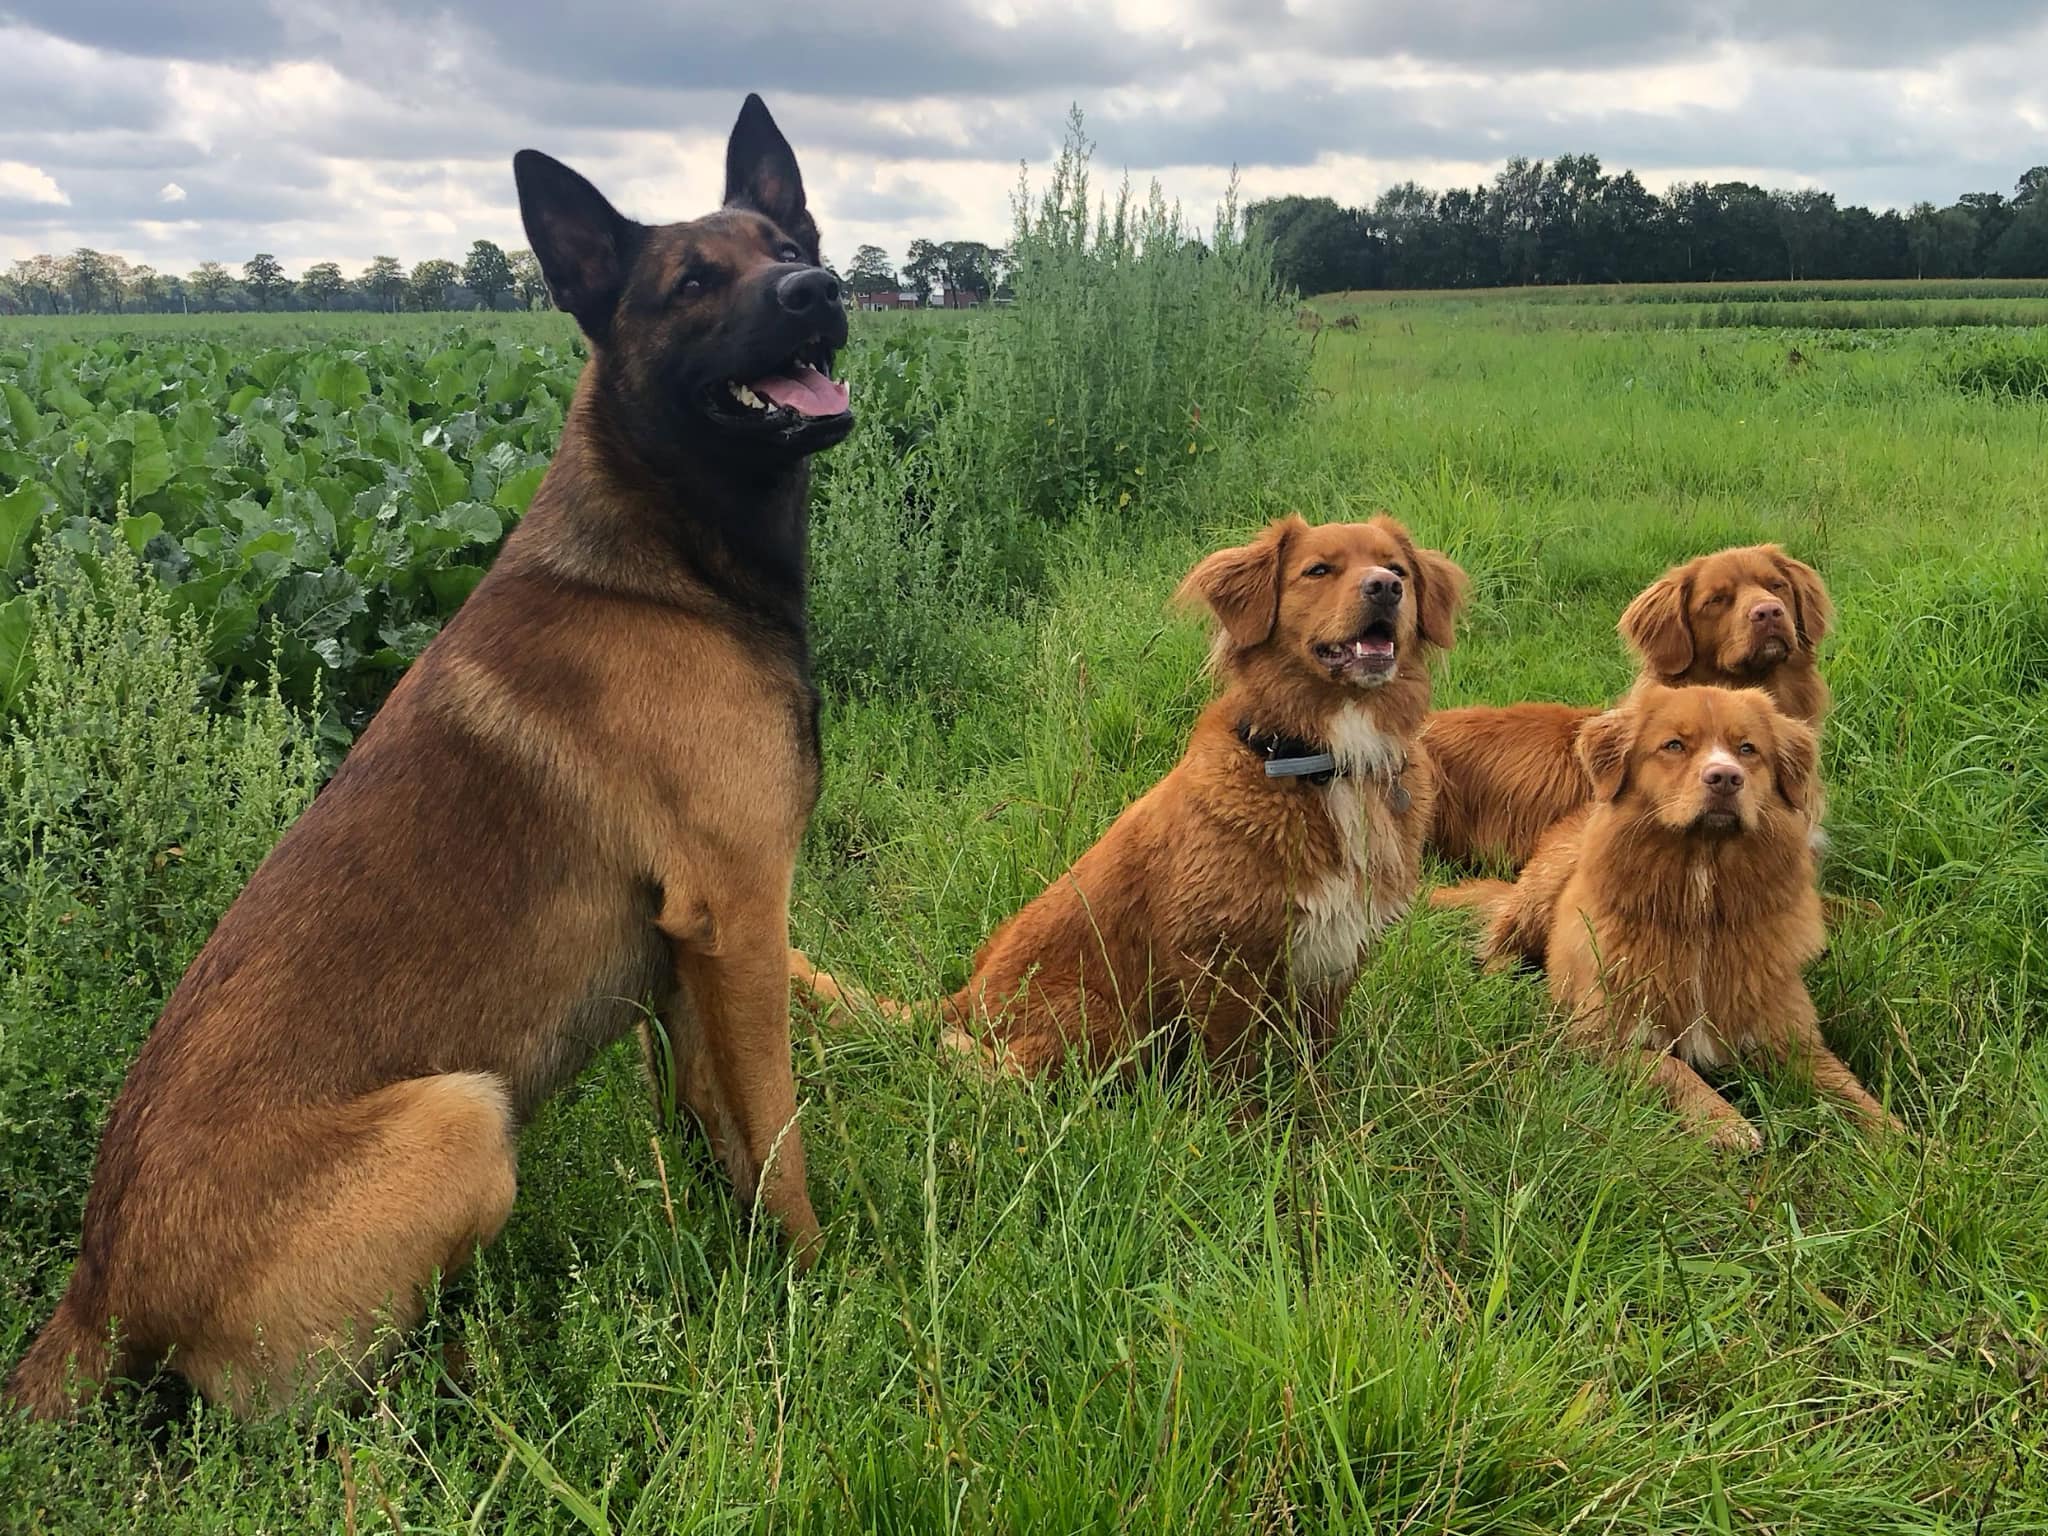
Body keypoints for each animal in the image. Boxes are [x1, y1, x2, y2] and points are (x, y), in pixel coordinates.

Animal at [6, 93, 847, 1417]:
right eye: (693, 282)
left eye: (788, 240)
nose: (818, 290)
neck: (666, 566)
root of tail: (98, 1293)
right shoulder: (741, 917)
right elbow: (778, 1136)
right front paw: (821, 1290)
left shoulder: (682, 958)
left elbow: (714, 1126)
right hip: (459, 1116)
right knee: (318, 1421)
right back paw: (482, 1375)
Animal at [790, 518, 1466, 1081]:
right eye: (1319, 570)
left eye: (1397, 569)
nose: (1385, 589)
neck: (1320, 762)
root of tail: (962, 998)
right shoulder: (1219, 959)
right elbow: (1237, 1075)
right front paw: (1249, 1135)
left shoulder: (1333, 959)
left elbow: (1313, 1066)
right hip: (1104, 1022)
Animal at [1433, 688, 1892, 1155]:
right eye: (1674, 745)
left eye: (1747, 749)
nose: (1725, 778)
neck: (1701, 905)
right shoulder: (1597, 1037)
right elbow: (1668, 1066)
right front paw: (1723, 1121)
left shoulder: (1792, 1038)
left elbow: (1848, 1089)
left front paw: (1896, 1137)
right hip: (1540, 893)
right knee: (1498, 942)